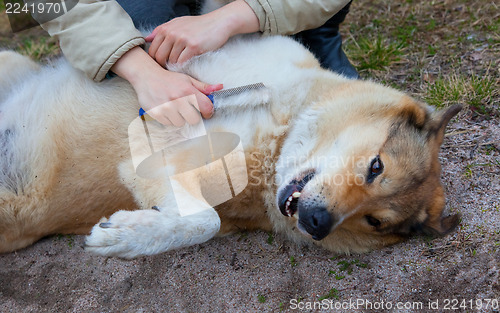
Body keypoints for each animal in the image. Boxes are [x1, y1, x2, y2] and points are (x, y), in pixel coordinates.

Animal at [0, 34, 460, 258]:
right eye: (375, 166)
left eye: (374, 221)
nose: (317, 223)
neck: (280, 132)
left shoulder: (152, 168)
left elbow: (205, 222)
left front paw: (127, 237)